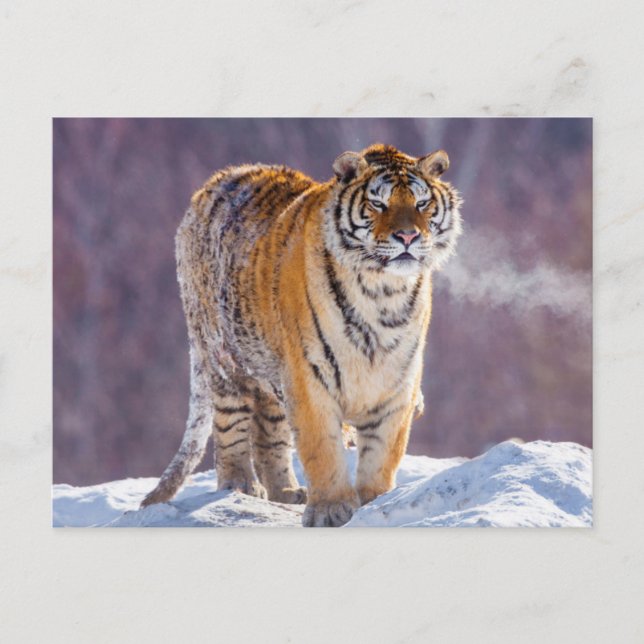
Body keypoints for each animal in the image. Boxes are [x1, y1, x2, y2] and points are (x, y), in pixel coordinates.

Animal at [140, 143, 462, 527]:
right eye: (378, 203)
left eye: (421, 203)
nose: (408, 237)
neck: (382, 293)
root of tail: (213, 183)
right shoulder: (310, 376)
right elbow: (322, 447)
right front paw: (331, 510)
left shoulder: (397, 382)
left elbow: (383, 452)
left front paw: (375, 502)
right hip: (224, 361)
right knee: (230, 427)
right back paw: (241, 486)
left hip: (270, 373)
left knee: (269, 434)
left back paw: (286, 491)